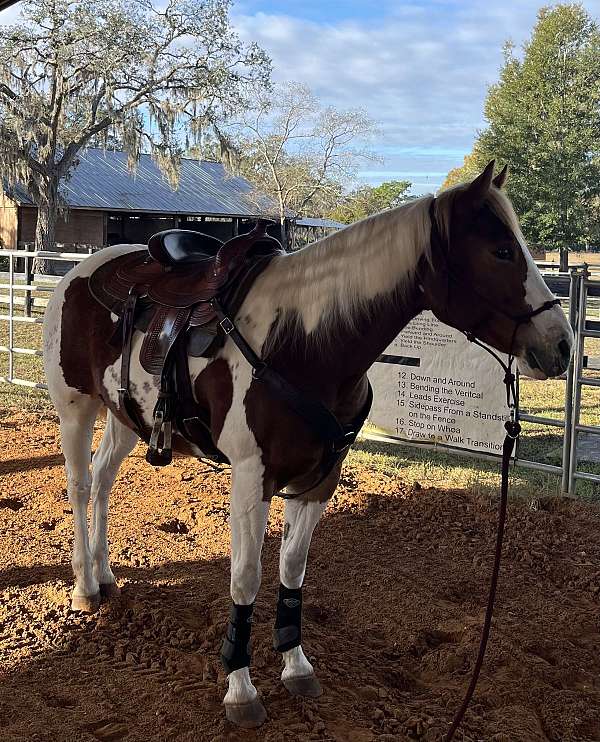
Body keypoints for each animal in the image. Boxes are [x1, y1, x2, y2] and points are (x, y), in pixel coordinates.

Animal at [42, 161, 573, 728]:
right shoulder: (251, 478)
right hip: (75, 409)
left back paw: (105, 575)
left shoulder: (322, 477)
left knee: (103, 481)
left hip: (125, 417)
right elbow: (246, 577)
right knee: (79, 486)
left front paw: (295, 663)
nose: (562, 344)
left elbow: (292, 569)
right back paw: (84, 586)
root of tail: (82, 272)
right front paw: (240, 687)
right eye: (502, 250)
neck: (306, 342)